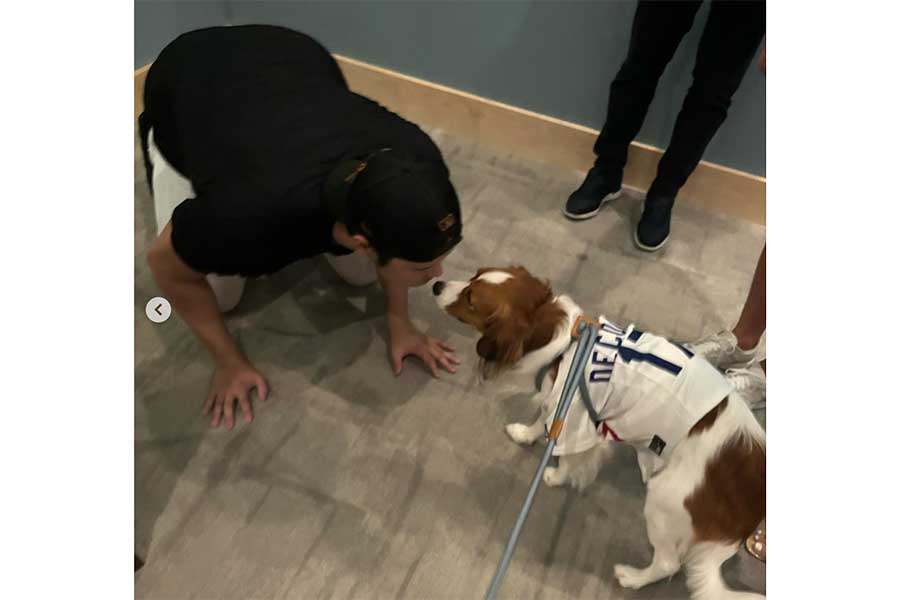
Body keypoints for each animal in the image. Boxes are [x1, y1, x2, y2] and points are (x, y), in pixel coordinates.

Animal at [434, 268, 768, 600]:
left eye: (470, 299)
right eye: (474, 276)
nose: (436, 284)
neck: (563, 342)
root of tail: (749, 512)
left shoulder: (575, 417)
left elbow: (566, 455)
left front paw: (556, 476)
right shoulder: (558, 396)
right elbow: (542, 417)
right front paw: (525, 434)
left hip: (664, 499)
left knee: (668, 563)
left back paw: (633, 577)